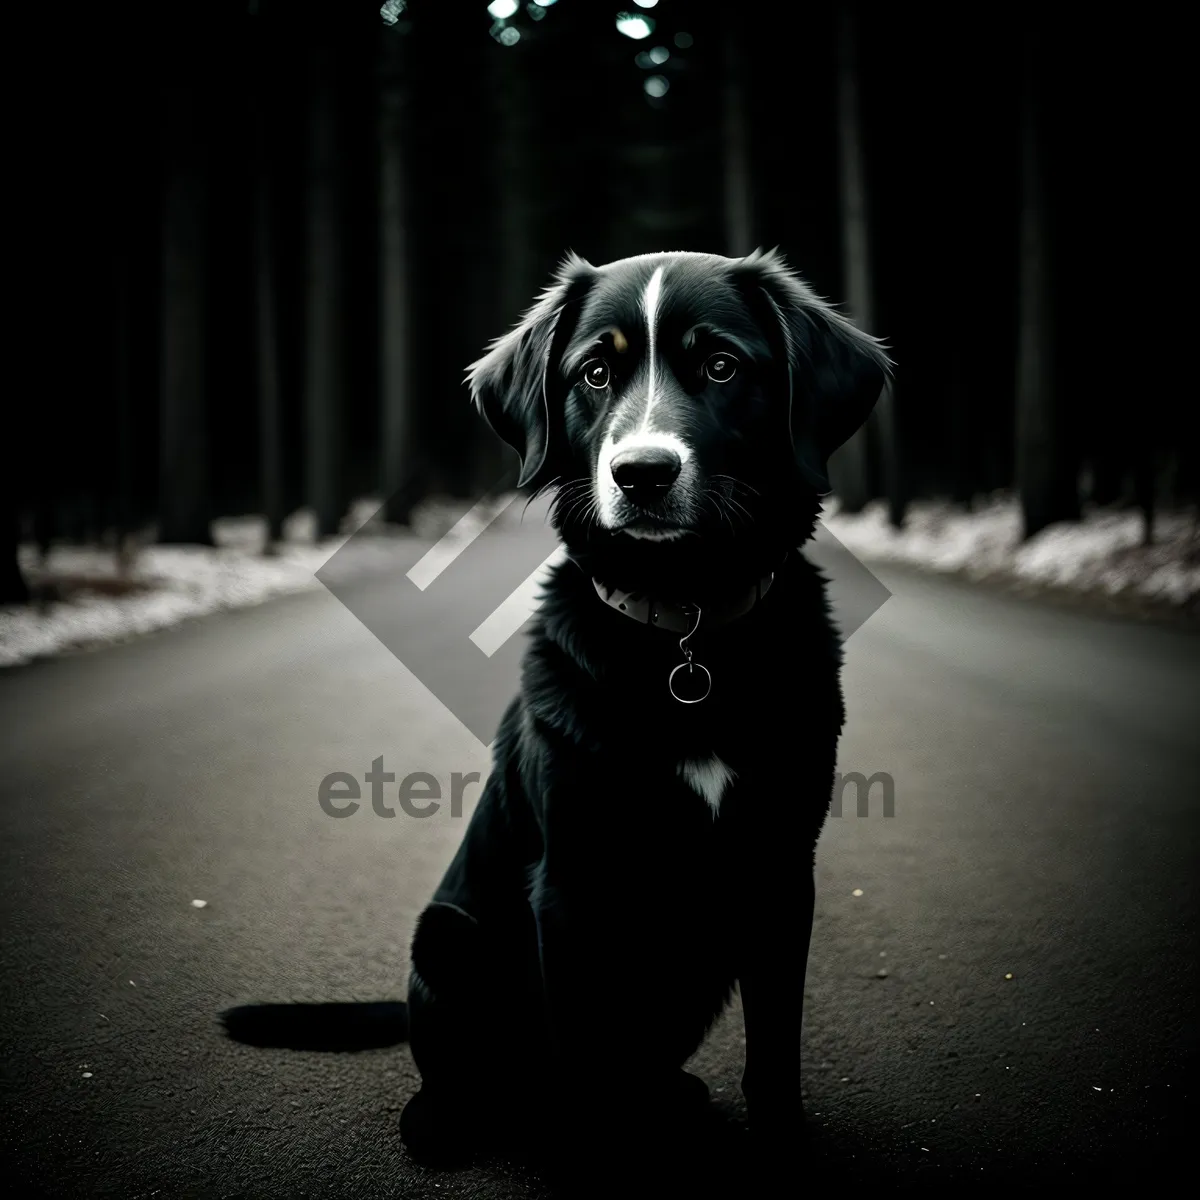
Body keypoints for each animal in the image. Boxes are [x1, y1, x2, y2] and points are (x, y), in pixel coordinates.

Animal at [398, 248, 888, 1176]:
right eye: (594, 372)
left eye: (722, 366)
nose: (642, 474)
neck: (685, 626)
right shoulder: (570, 884)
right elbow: (587, 1067)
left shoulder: (781, 867)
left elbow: (774, 1050)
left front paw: (781, 1143)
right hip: (446, 936)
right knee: (473, 1070)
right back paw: (444, 1120)